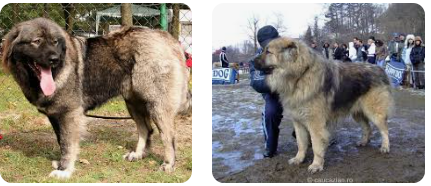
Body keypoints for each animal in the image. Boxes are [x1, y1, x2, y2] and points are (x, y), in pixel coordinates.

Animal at [1, 17, 191, 179]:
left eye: (55, 42)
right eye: (37, 41)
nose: (55, 59)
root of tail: (166, 37)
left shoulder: (69, 114)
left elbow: (68, 144)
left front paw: (65, 170)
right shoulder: (55, 116)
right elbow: (61, 141)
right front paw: (62, 164)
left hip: (157, 106)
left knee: (168, 136)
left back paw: (168, 164)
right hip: (133, 102)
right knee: (146, 129)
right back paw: (138, 154)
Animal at [255, 37, 394, 174]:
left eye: (268, 52)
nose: (251, 61)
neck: (300, 76)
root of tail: (380, 69)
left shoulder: (315, 124)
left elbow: (316, 146)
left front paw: (316, 165)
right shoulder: (298, 122)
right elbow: (301, 143)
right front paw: (299, 159)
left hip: (374, 112)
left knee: (385, 129)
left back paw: (385, 146)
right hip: (357, 112)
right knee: (367, 127)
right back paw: (364, 142)